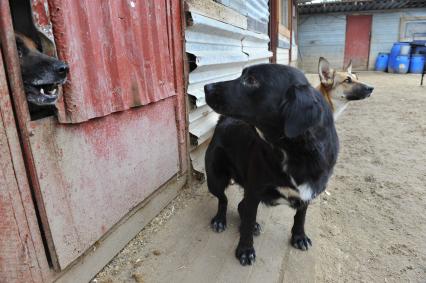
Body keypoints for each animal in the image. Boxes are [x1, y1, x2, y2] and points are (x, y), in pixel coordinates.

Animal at [204, 63, 340, 266]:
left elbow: (300, 217)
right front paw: (245, 250)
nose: (206, 87)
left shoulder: (307, 193)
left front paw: (299, 237)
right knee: (224, 200)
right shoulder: (254, 191)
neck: (294, 152)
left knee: (240, 206)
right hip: (215, 179)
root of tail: (224, 121)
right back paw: (220, 219)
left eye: (251, 80)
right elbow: (247, 222)